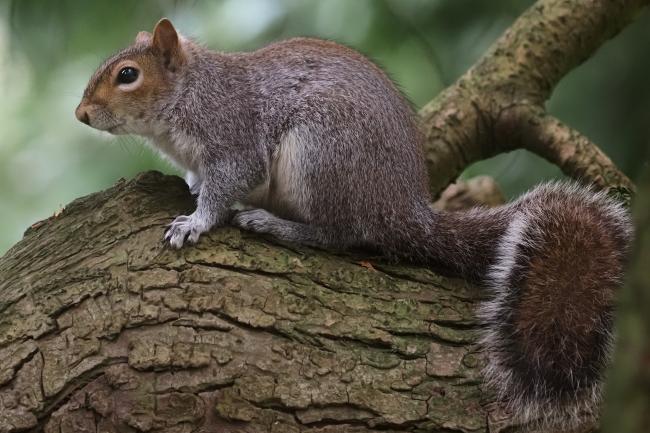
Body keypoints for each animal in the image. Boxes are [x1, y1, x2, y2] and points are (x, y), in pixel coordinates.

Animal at [75, 18, 632, 429]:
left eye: (127, 75)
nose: (80, 114)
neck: (188, 95)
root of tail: (405, 213)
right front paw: (192, 188)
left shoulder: (233, 136)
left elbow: (230, 182)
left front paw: (196, 221)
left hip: (321, 157)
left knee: (338, 236)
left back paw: (274, 224)